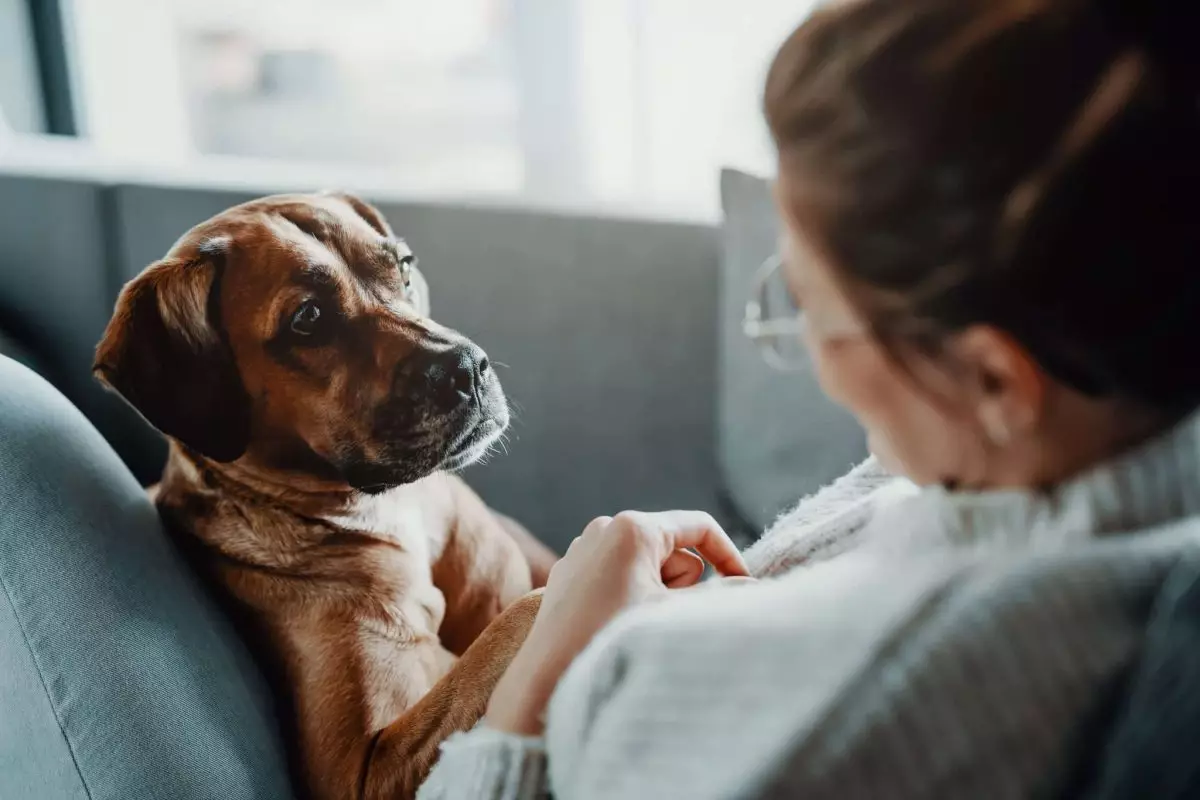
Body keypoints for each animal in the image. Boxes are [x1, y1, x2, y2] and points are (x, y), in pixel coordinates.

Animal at [92, 191, 556, 800]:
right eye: (307, 319)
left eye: (403, 266)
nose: (467, 367)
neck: (385, 510)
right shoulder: (358, 770)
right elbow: (518, 621)